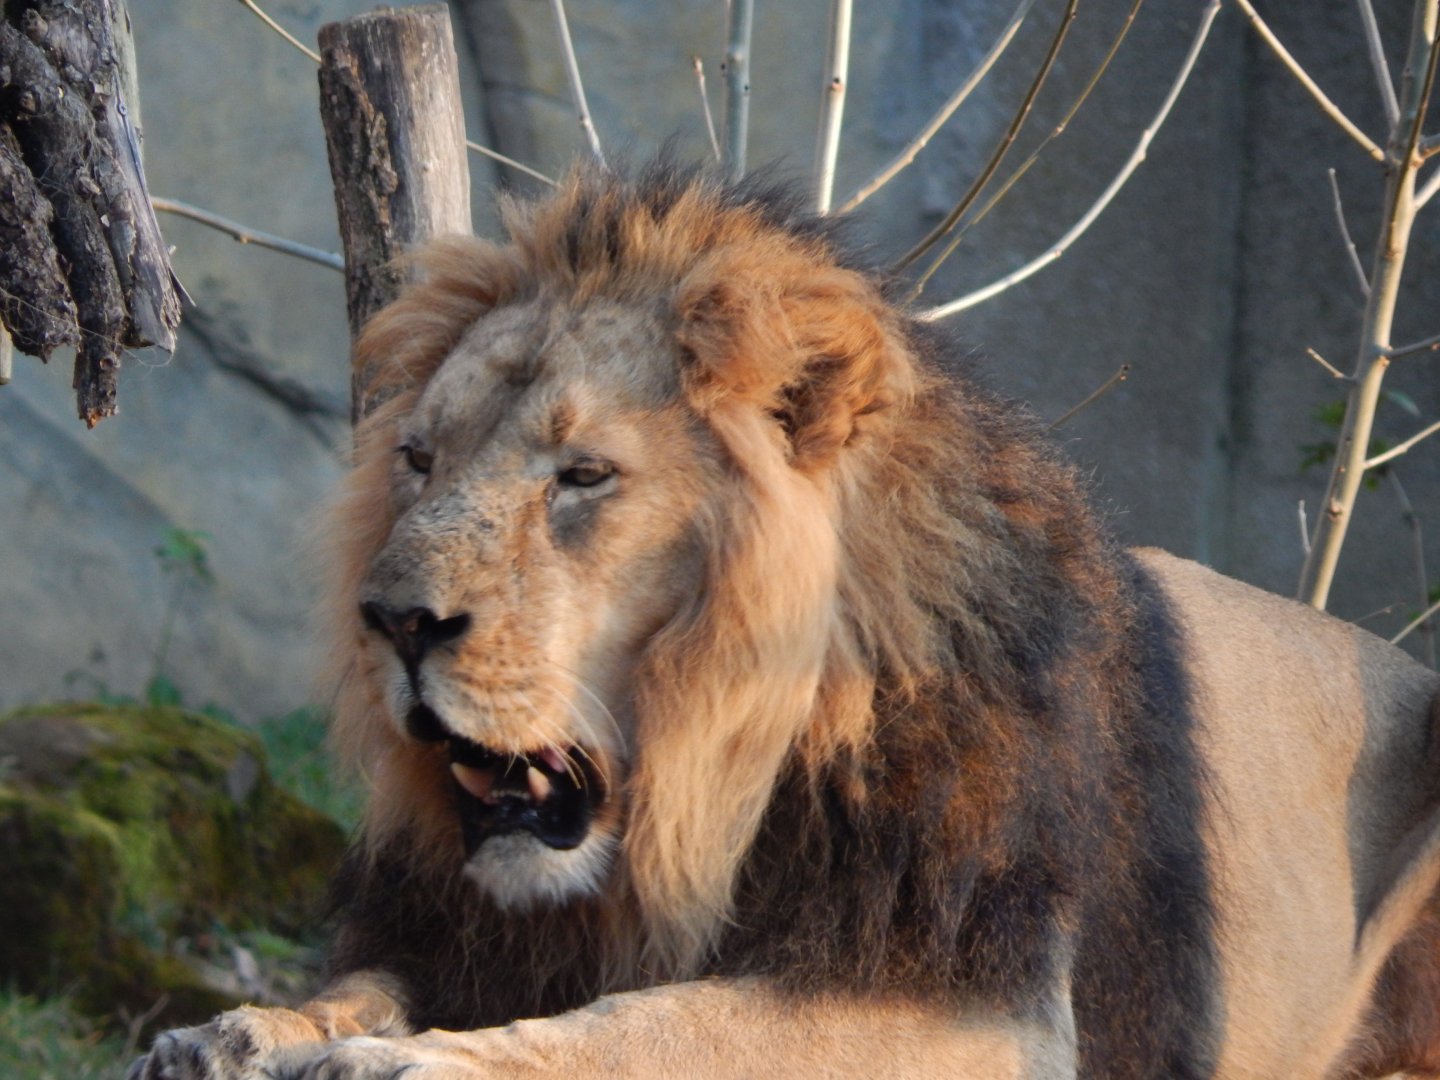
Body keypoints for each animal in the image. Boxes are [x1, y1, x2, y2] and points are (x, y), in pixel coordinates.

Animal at [131, 162, 1440, 1080]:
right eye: (417, 460)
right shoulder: (459, 928)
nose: (395, 620)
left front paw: (406, 1061)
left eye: (583, 476)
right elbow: (369, 982)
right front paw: (242, 1033)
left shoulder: (978, 1003)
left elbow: (659, 1026)